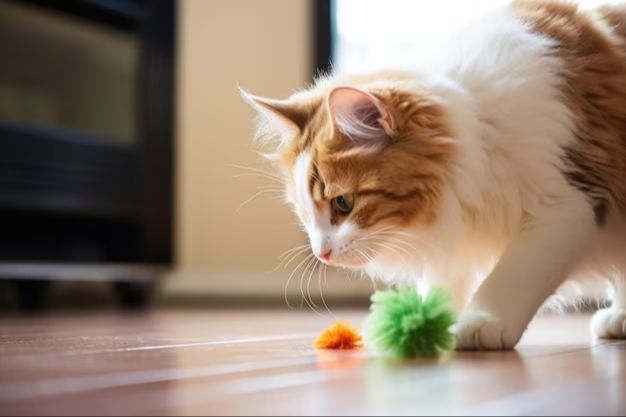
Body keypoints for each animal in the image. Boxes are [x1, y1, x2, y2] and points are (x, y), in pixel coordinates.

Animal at [241, 1, 624, 350]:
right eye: (304, 213)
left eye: (343, 204)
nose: (322, 254)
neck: (480, 129)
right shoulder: (455, 227)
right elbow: (442, 282)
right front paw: (422, 322)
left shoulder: (566, 204)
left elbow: (511, 274)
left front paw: (481, 323)